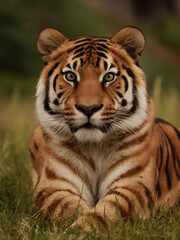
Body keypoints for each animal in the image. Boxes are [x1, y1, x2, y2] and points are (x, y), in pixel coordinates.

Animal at [28, 26, 180, 231]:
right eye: (70, 76)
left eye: (109, 76)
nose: (88, 108)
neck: (94, 146)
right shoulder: (56, 186)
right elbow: (68, 207)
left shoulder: (132, 185)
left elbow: (106, 211)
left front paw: (81, 229)